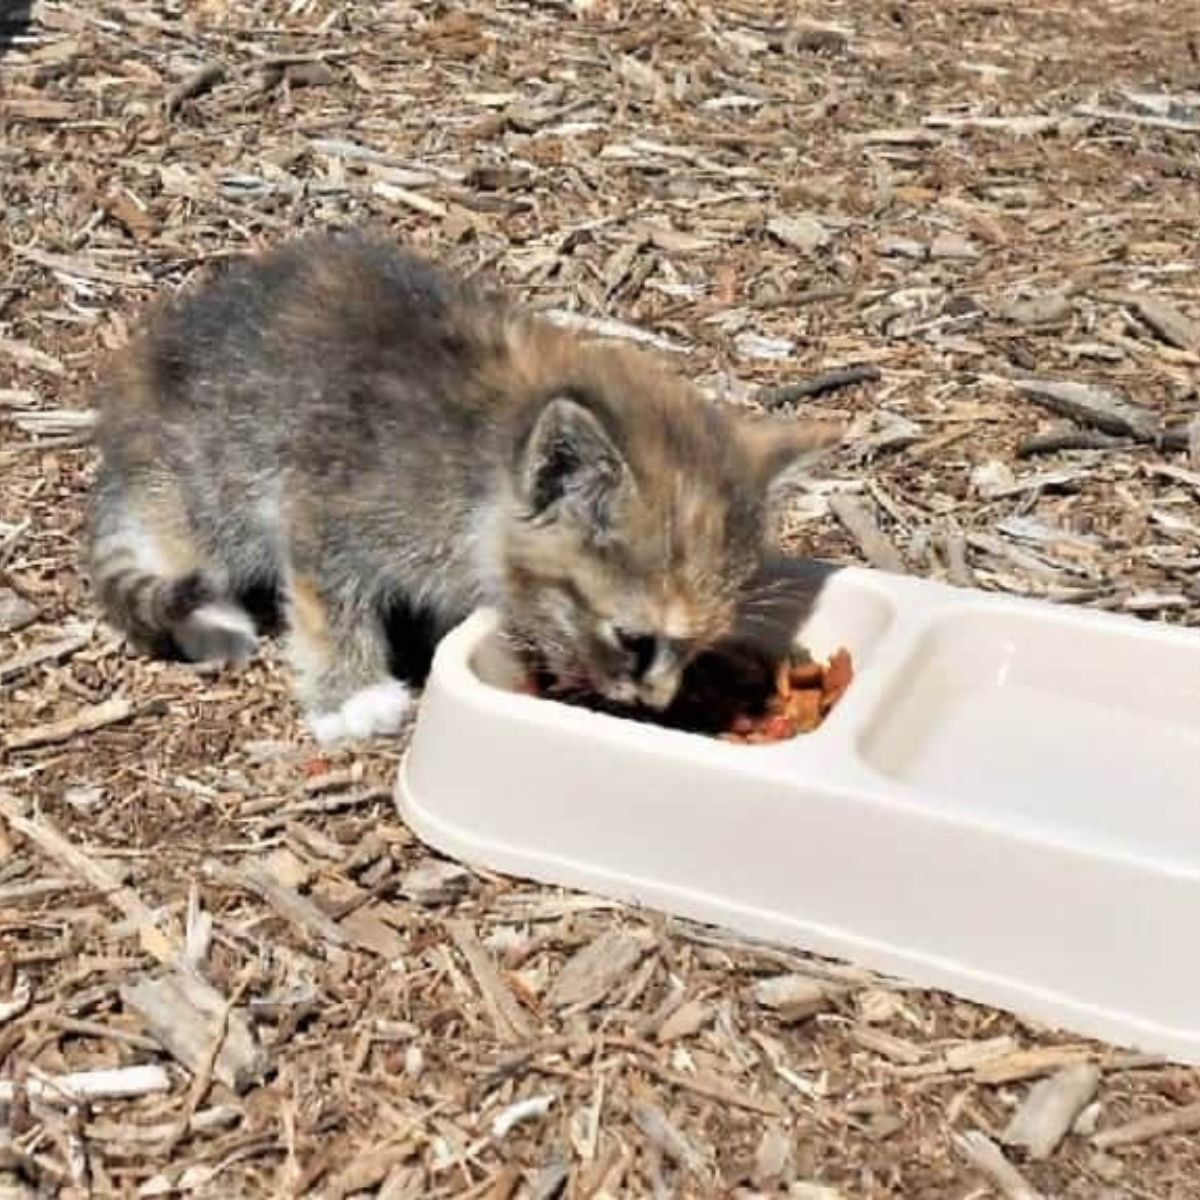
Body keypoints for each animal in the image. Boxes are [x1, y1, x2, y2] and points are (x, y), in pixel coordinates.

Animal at [87, 226, 844, 739]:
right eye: (633, 638)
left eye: (699, 646)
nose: (656, 702)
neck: (481, 466)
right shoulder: (322, 505)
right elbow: (330, 603)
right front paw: (350, 696)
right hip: (213, 476)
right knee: (171, 542)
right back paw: (211, 619)